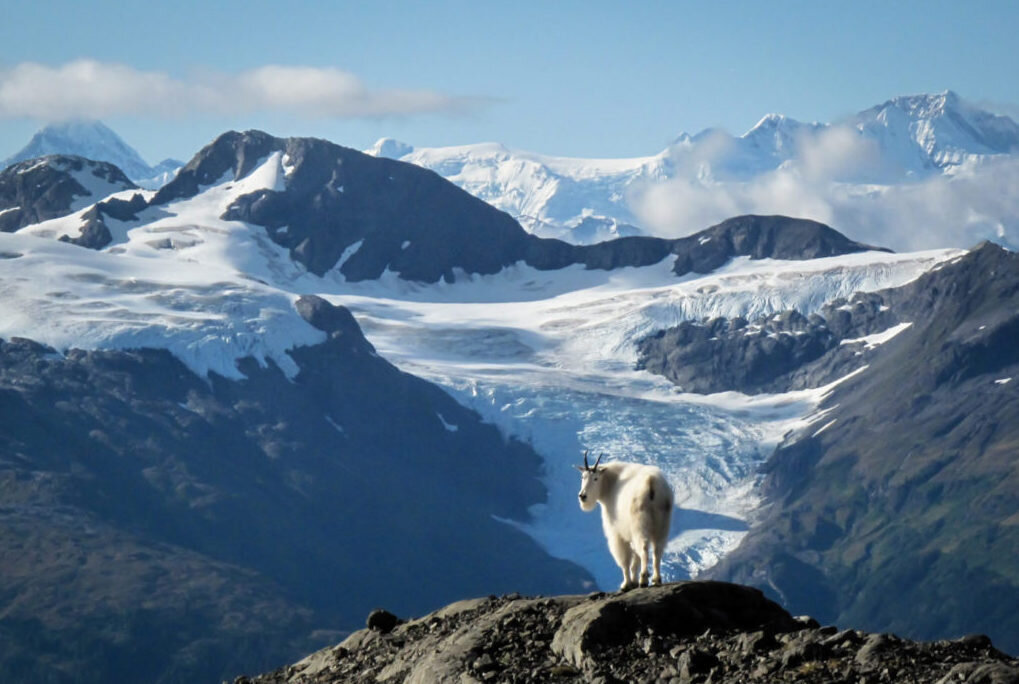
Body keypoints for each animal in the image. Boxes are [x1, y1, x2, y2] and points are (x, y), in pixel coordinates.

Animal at [578, 452, 672, 591]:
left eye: (595, 478)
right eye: (583, 477)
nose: (583, 496)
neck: (610, 484)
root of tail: (651, 483)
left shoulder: (616, 533)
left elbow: (625, 560)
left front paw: (626, 584)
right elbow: (634, 560)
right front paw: (633, 582)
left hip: (640, 523)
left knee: (644, 548)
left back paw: (644, 579)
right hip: (662, 522)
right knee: (657, 549)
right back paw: (656, 580)